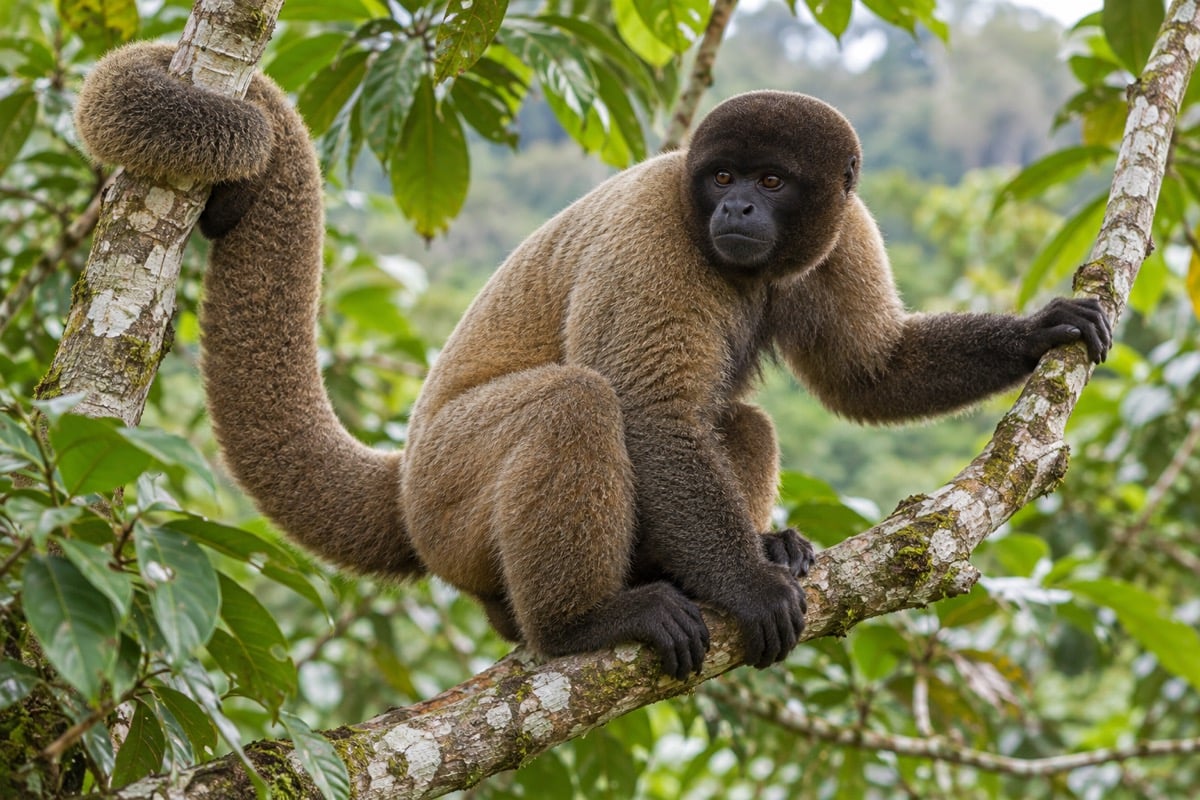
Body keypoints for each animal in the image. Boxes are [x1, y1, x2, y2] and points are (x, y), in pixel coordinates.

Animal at [75, 43, 1111, 680]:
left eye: (773, 180)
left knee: (736, 419)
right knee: (577, 402)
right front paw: (749, 588)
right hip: (448, 492)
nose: (737, 210)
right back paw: (576, 624)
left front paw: (1041, 333)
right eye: (723, 177)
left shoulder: (843, 229)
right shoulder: (657, 237)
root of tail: (400, 480)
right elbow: (647, 412)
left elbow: (870, 372)